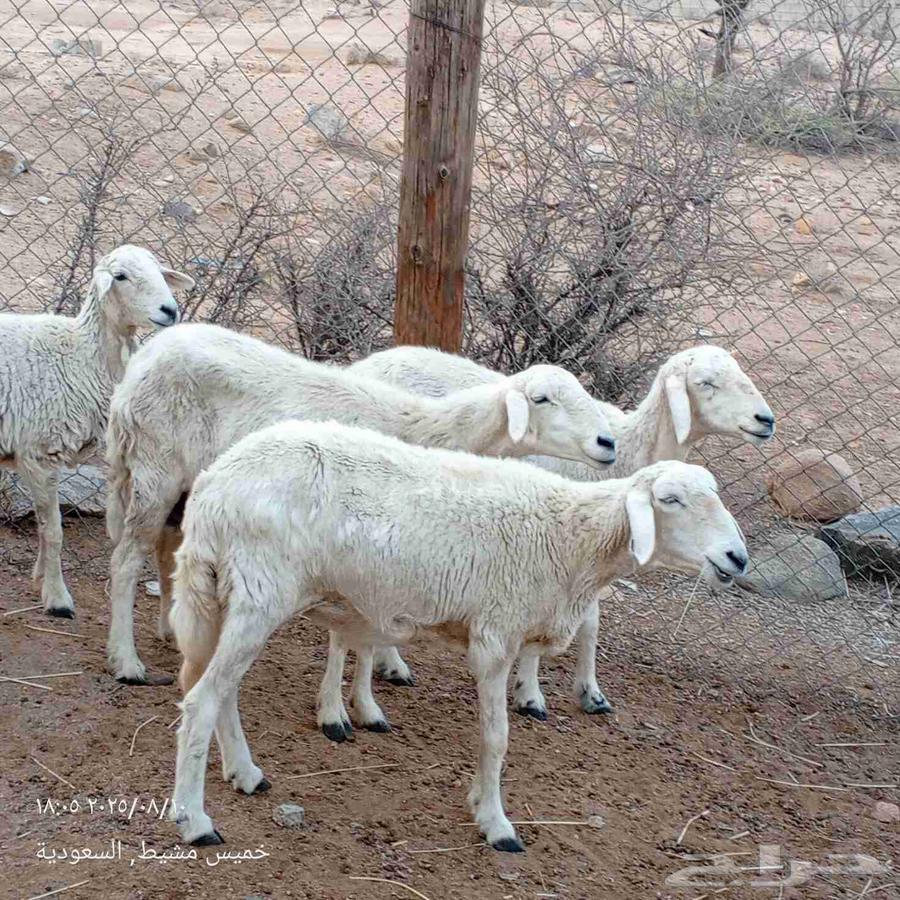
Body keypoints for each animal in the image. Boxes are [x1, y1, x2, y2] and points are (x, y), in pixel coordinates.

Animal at [0, 246, 193, 617]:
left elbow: (45, 528)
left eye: (160, 271)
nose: (170, 310)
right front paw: (57, 597)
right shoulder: (38, 453)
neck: (80, 356)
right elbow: (54, 531)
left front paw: (40, 577)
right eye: (120, 276)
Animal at [105, 322, 616, 685]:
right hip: (155, 467)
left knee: (166, 548)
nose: (607, 442)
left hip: (183, 484)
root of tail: (144, 357)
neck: (432, 431)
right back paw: (126, 660)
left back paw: (170, 630)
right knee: (126, 559)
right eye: (542, 399)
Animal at [168, 419, 749, 851]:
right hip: (259, 591)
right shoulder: (495, 638)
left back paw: (245, 773)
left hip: (230, 595)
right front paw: (495, 822)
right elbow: (496, 738)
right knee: (202, 700)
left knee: (221, 692)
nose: (737, 558)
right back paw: (195, 820)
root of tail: (213, 486)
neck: (570, 539)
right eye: (670, 500)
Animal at [346, 344, 774, 719]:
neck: (630, 450)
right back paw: (389, 662)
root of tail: (371, 362)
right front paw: (531, 693)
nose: (766, 421)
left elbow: (590, 622)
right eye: (706, 382)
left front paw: (591, 693)